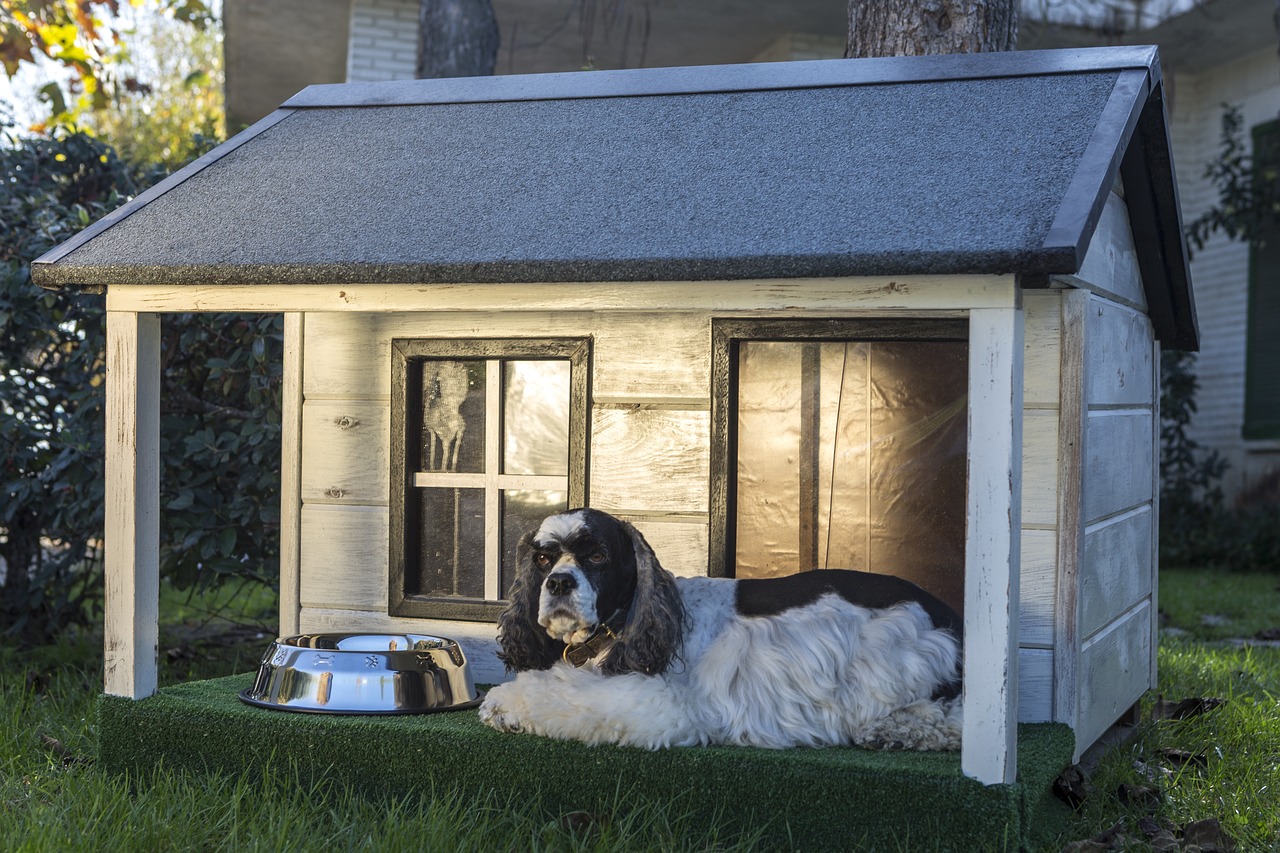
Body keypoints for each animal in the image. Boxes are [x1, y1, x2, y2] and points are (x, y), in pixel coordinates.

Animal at [478, 507, 962, 747]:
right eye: (543, 559)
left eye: (597, 555)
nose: (559, 582)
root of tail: (948, 613)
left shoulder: (661, 702)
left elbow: (563, 696)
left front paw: (504, 704)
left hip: (895, 659)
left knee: (949, 717)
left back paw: (894, 732)